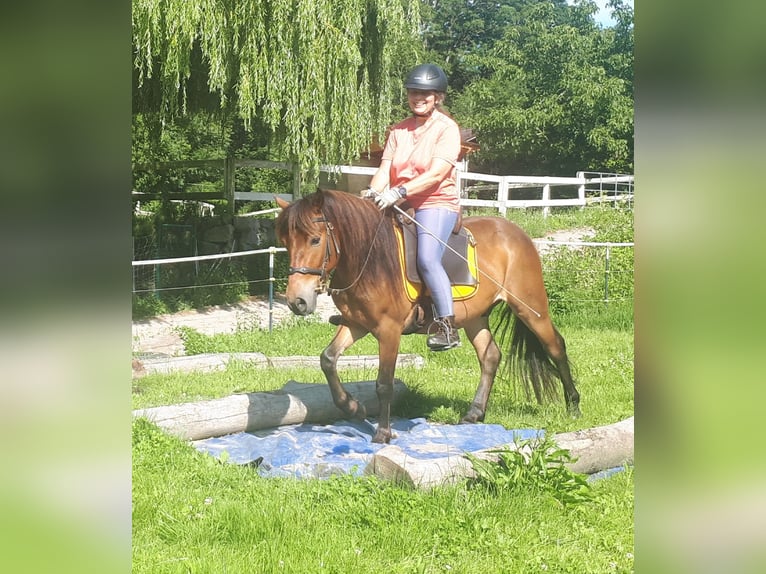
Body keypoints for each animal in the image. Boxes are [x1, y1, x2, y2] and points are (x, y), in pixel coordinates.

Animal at [276, 189, 584, 446]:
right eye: (286, 243)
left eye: (315, 240)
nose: (296, 301)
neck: (369, 258)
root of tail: (516, 232)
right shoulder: (357, 324)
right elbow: (328, 360)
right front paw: (353, 407)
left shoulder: (388, 330)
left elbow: (384, 384)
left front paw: (383, 433)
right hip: (475, 317)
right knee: (491, 355)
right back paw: (475, 413)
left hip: (531, 308)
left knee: (556, 346)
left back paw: (573, 406)